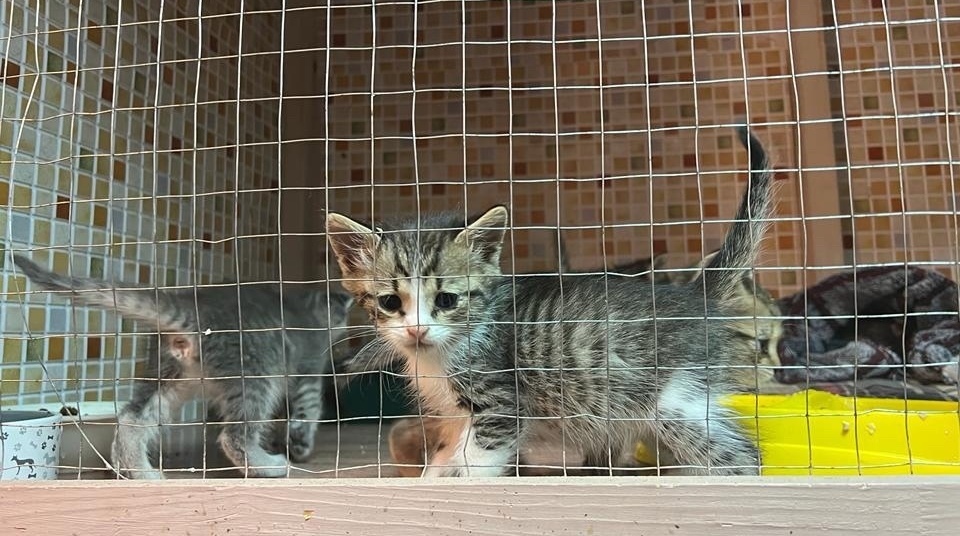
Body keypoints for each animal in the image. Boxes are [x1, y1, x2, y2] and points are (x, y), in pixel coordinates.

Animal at [11, 256, 354, 482]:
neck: (304, 307)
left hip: (167, 380)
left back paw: (140, 472)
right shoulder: (310, 367)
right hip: (257, 375)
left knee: (133, 418)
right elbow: (309, 409)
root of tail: (195, 308)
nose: (348, 324)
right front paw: (302, 442)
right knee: (234, 435)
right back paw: (266, 466)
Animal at [326, 126, 776, 478]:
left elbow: (478, 460)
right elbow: (446, 452)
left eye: (448, 299)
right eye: (389, 302)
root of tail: (695, 294)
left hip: (674, 401)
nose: (417, 330)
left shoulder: (500, 403)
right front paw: (433, 478)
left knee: (741, 456)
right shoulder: (454, 413)